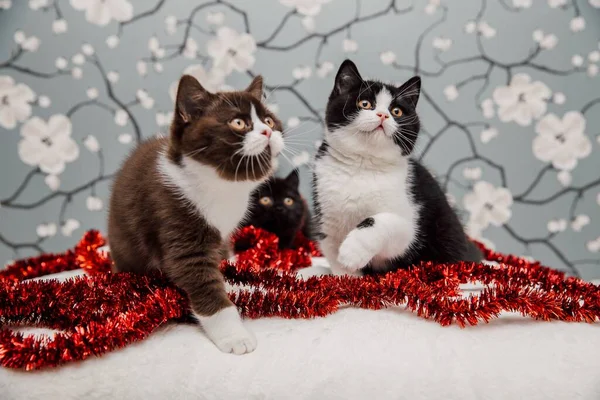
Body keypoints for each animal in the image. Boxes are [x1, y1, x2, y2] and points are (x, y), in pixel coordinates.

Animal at [108, 74, 284, 354]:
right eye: (238, 123)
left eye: (268, 121)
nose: (268, 132)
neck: (220, 184)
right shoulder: (172, 213)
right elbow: (200, 278)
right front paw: (235, 336)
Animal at [312, 59, 480, 276]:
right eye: (365, 104)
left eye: (396, 111)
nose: (383, 115)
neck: (362, 165)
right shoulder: (328, 221)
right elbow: (334, 253)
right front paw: (347, 277)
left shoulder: (411, 225)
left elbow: (384, 221)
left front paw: (352, 251)